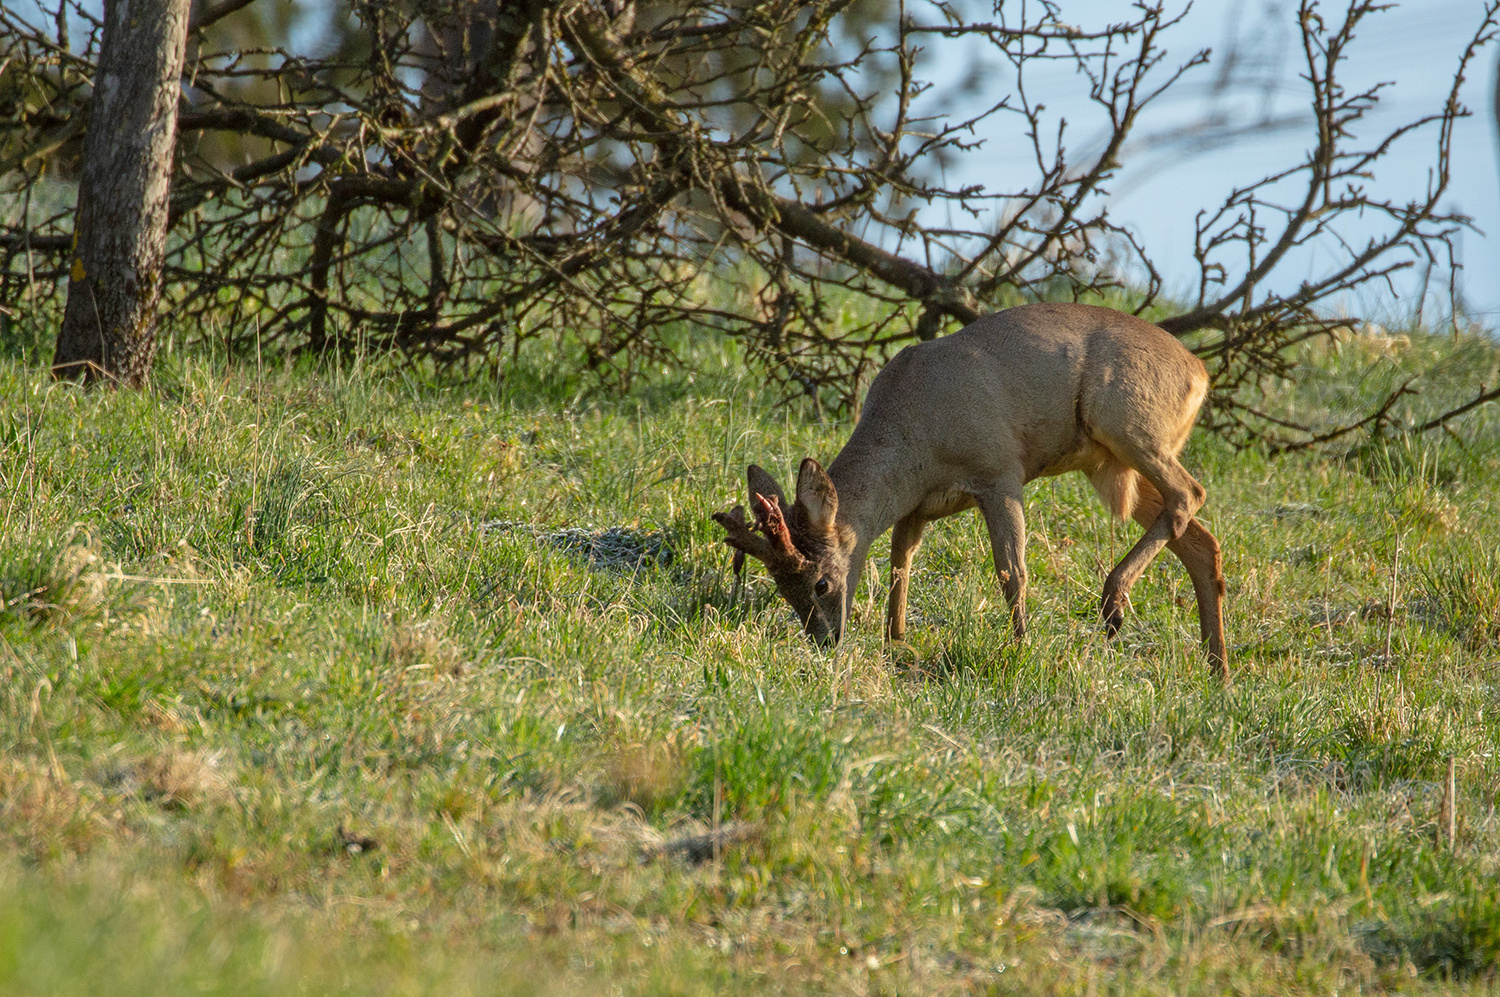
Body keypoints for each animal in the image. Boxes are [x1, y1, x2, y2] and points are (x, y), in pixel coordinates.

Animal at [717, 299, 1230, 680]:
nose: (825, 641)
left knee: (1190, 493)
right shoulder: (916, 506)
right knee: (1201, 540)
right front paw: (896, 641)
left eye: (821, 582)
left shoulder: (999, 471)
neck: (914, 437)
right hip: (1112, 459)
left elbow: (1012, 571)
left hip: (1128, 424)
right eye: (782, 587)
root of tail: (1201, 373)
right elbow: (901, 562)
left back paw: (1114, 603)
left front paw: (1021, 650)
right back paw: (1217, 671)